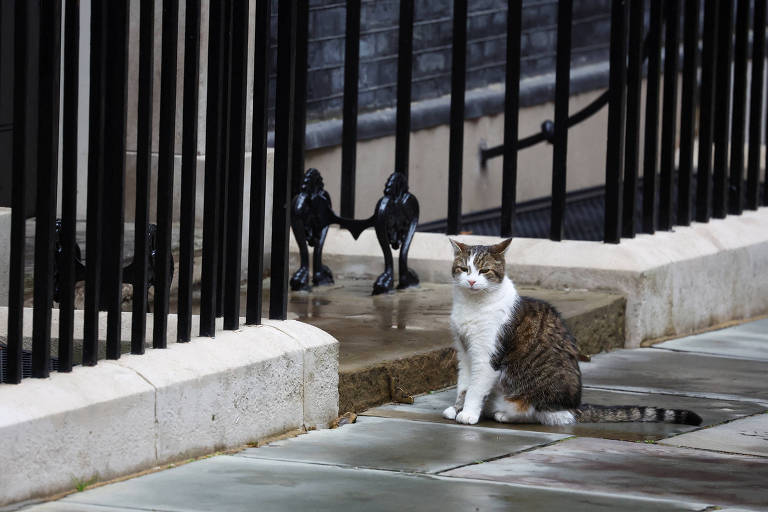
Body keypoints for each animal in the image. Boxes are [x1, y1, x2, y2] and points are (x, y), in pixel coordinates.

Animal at [444, 240, 704, 428]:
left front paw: (468, 413)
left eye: (484, 270)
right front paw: (457, 409)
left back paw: (505, 414)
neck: (472, 304)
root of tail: (574, 406)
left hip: (535, 392)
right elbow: (464, 385)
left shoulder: (487, 355)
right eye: (464, 269)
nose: (471, 281)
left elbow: (475, 388)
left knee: (545, 415)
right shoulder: (465, 352)